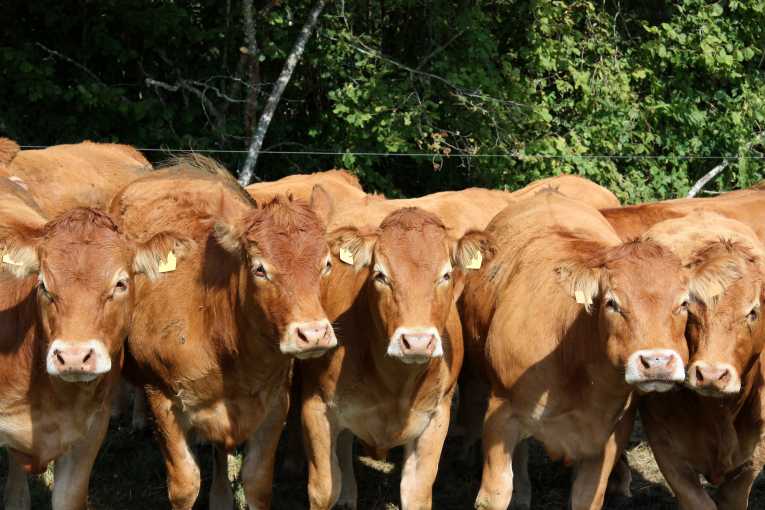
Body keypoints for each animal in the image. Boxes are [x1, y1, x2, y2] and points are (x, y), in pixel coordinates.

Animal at [109, 156, 338, 509]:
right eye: (260, 268)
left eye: (326, 264)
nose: (312, 333)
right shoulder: (162, 397)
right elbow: (185, 485)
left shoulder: (275, 403)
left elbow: (257, 482)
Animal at [460, 190, 700, 510]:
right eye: (612, 303)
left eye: (683, 303)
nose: (657, 362)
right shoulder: (500, 414)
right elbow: (495, 494)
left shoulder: (609, 435)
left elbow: (587, 496)